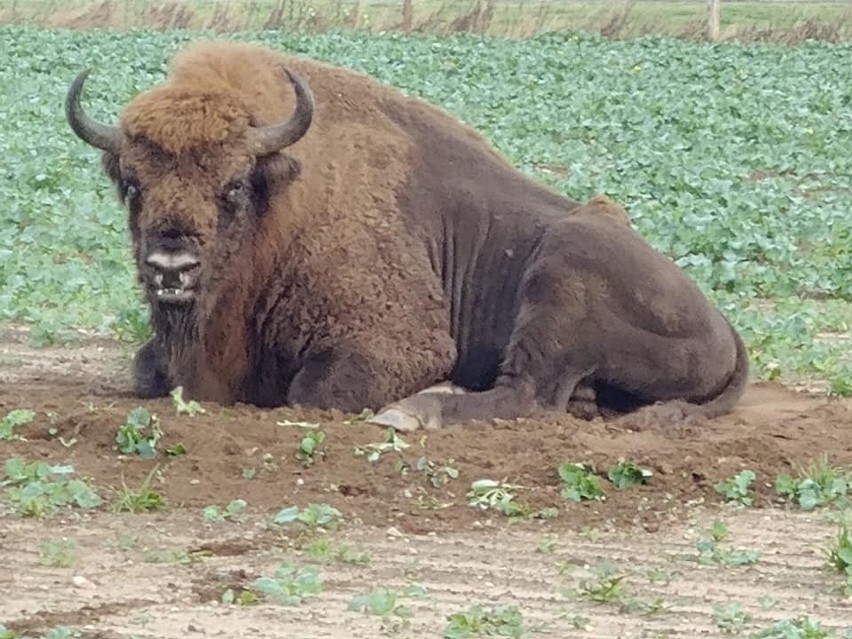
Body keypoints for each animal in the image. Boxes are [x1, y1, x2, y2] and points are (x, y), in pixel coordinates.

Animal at [63, 38, 748, 430]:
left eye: (232, 186)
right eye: (132, 184)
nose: (170, 268)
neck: (283, 197)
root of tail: (723, 326)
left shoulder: (394, 343)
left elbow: (314, 389)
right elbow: (146, 371)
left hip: (563, 270)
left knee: (524, 395)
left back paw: (415, 411)